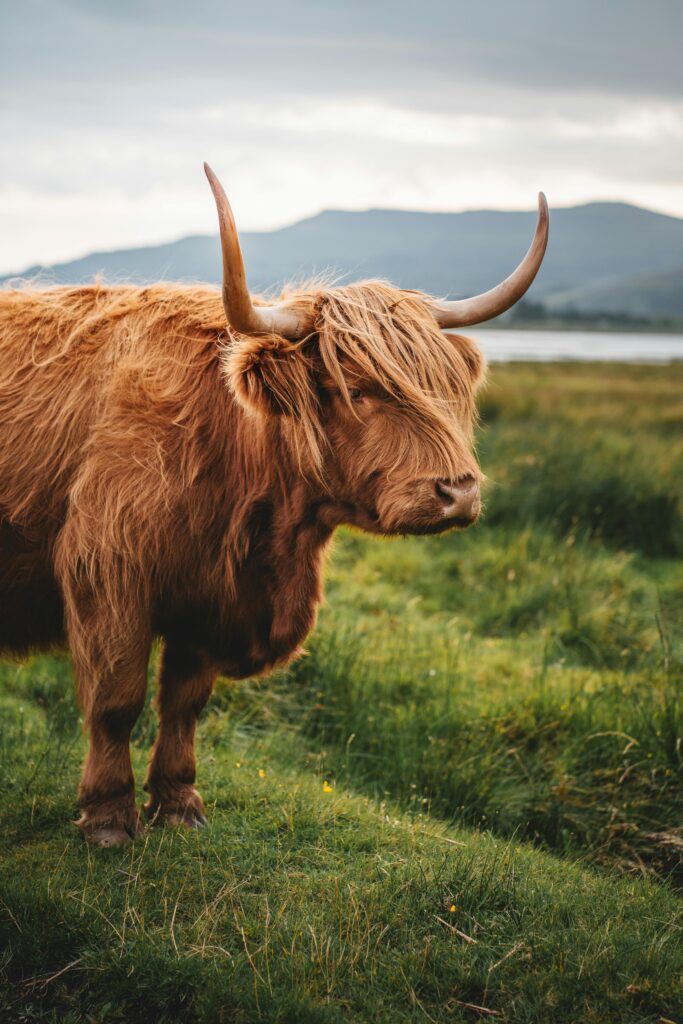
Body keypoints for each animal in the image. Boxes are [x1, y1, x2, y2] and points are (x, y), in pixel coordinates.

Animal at [0, 165, 548, 845]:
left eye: (447, 388)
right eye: (357, 390)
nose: (460, 492)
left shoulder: (210, 599)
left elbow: (184, 702)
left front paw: (179, 804)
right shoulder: (108, 571)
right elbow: (117, 698)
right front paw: (109, 817)